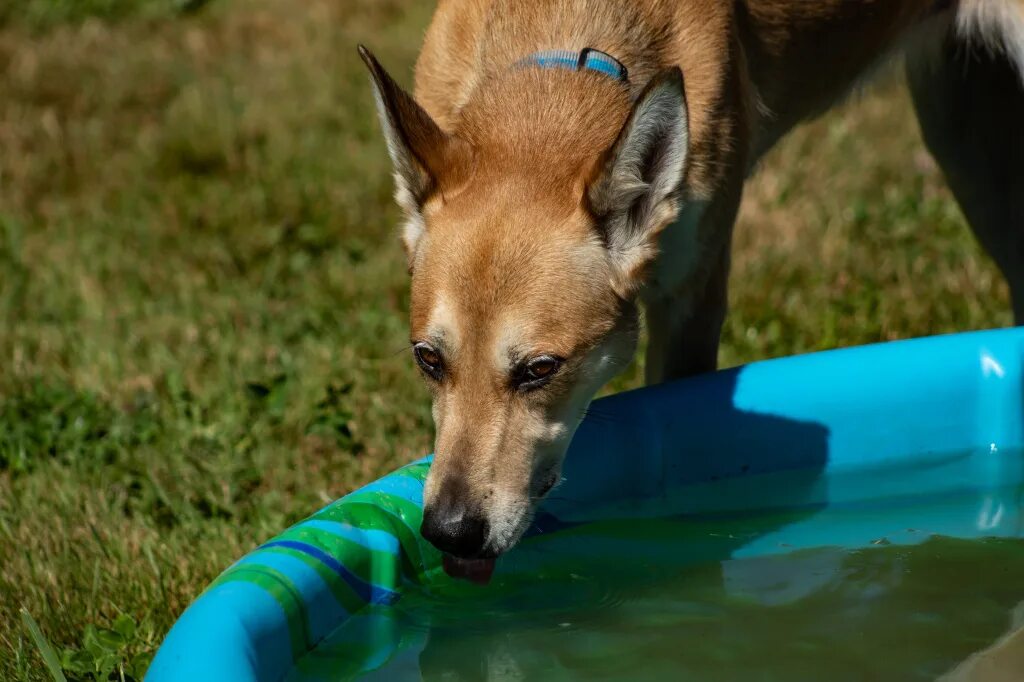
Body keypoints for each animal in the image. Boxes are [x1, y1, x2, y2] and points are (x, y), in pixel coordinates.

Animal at [360, 0, 1024, 577]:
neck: (564, 46)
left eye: (541, 370)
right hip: (970, 150)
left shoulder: (690, 304)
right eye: (428, 360)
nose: (448, 532)